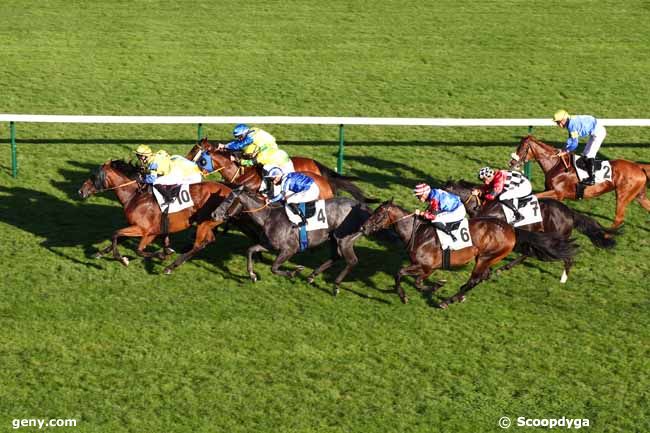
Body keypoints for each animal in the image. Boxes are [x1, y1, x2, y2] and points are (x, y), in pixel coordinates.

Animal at [78, 160, 232, 272]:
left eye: (93, 177)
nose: (80, 191)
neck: (135, 196)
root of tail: (229, 190)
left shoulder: (144, 230)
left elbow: (127, 242)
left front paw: (124, 259)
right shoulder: (149, 231)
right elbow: (120, 238)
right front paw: (99, 253)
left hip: (205, 222)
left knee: (198, 245)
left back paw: (171, 266)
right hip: (207, 223)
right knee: (208, 240)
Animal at [360, 199, 576, 308]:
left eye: (378, 214)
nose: (363, 228)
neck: (418, 232)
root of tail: (512, 230)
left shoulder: (426, 266)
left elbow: (406, 276)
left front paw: (418, 292)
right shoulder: (426, 268)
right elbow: (411, 278)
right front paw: (432, 287)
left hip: (486, 257)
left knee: (474, 279)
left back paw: (447, 301)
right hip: (488, 259)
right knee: (482, 277)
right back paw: (458, 297)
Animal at [442, 178, 616, 282]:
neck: (483, 204)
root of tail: (570, 213)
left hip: (556, 238)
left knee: (566, 257)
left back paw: (563, 279)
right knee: (529, 253)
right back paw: (505, 268)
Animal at [508, 135, 644, 228]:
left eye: (522, 147)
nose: (512, 163)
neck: (556, 165)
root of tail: (639, 167)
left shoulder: (557, 193)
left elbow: (534, 196)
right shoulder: (549, 190)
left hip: (622, 195)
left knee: (619, 218)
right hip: (638, 195)